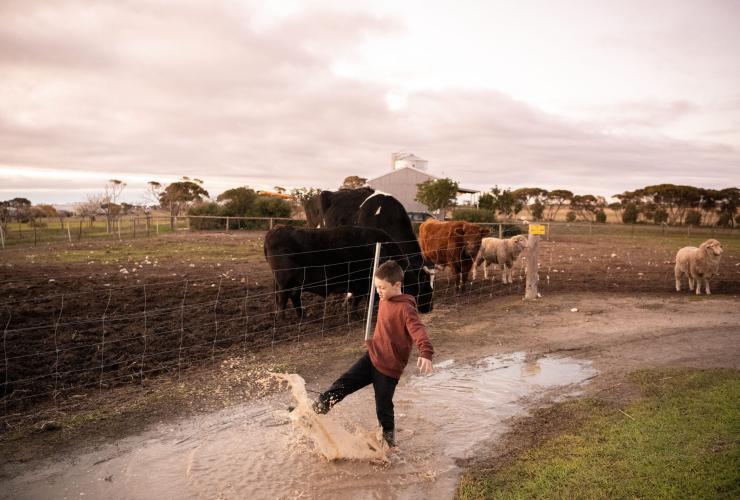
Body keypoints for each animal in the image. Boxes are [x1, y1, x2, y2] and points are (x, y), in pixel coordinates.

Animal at [264, 225, 408, 319]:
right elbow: (360, 299)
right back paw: (282, 319)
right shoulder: (362, 284)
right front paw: (358, 315)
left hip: (296, 281)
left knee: (293, 296)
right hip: (285, 281)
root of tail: (275, 230)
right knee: (283, 298)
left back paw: (302, 316)